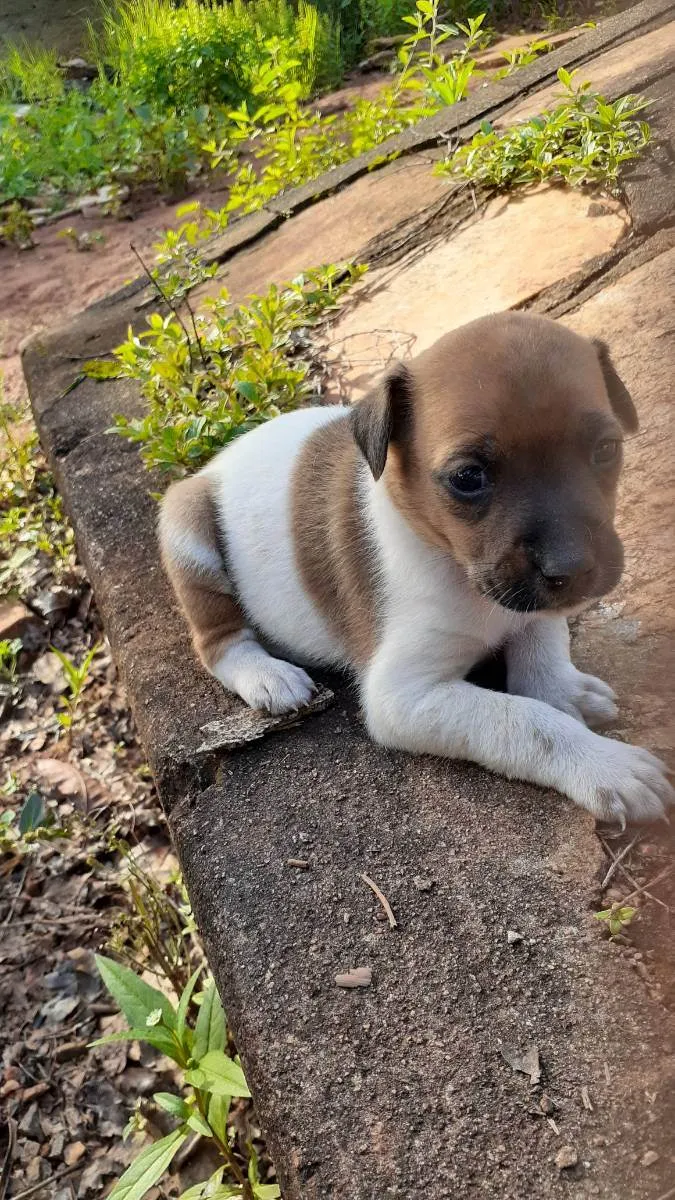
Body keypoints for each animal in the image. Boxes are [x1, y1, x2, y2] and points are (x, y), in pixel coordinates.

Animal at [159, 309, 667, 825]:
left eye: (606, 449)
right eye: (468, 477)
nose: (575, 568)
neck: (454, 566)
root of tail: (213, 465)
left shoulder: (530, 607)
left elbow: (542, 647)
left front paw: (565, 691)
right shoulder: (404, 697)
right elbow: (525, 721)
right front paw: (604, 764)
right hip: (186, 530)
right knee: (218, 641)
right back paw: (266, 676)